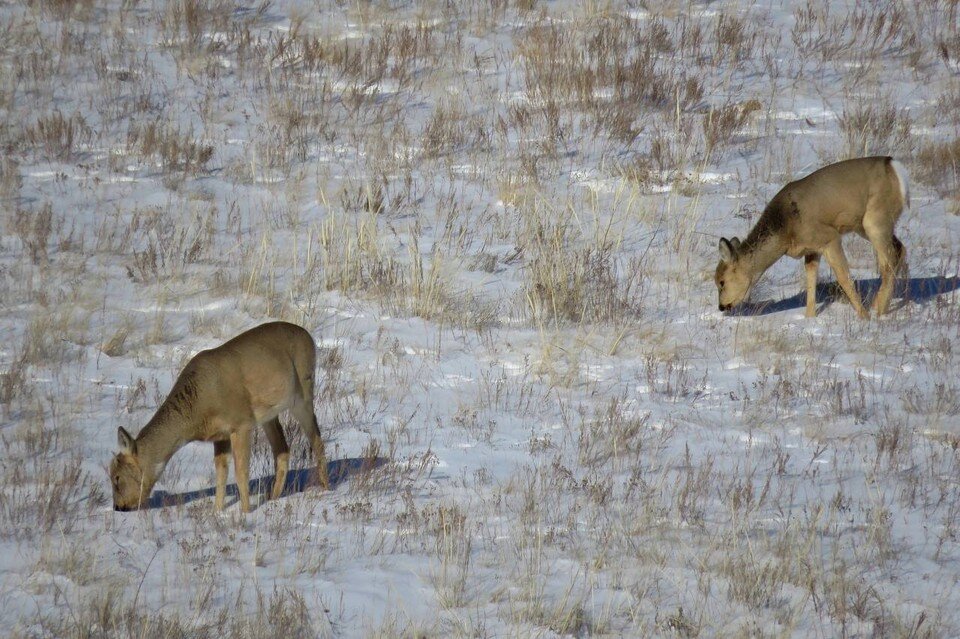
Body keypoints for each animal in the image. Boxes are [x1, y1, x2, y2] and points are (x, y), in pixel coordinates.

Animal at [110, 322, 330, 512]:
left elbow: (241, 473)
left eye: (117, 478)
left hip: (302, 393)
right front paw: (217, 511)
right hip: (270, 414)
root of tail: (308, 335)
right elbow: (221, 473)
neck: (198, 408)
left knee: (317, 441)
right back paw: (273, 498)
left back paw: (326, 489)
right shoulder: (220, 435)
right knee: (282, 450)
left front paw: (245, 512)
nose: (119, 507)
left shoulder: (241, 423)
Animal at [716, 154, 912, 316]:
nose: (721, 306)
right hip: (864, 226)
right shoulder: (811, 249)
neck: (786, 230)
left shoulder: (829, 236)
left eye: (721, 282)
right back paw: (881, 305)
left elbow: (844, 278)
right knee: (899, 250)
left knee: (889, 260)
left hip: (875, 219)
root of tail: (895, 166)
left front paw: (864, 317)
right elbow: (811, 281)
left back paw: (878, 312)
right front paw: (809, 318)